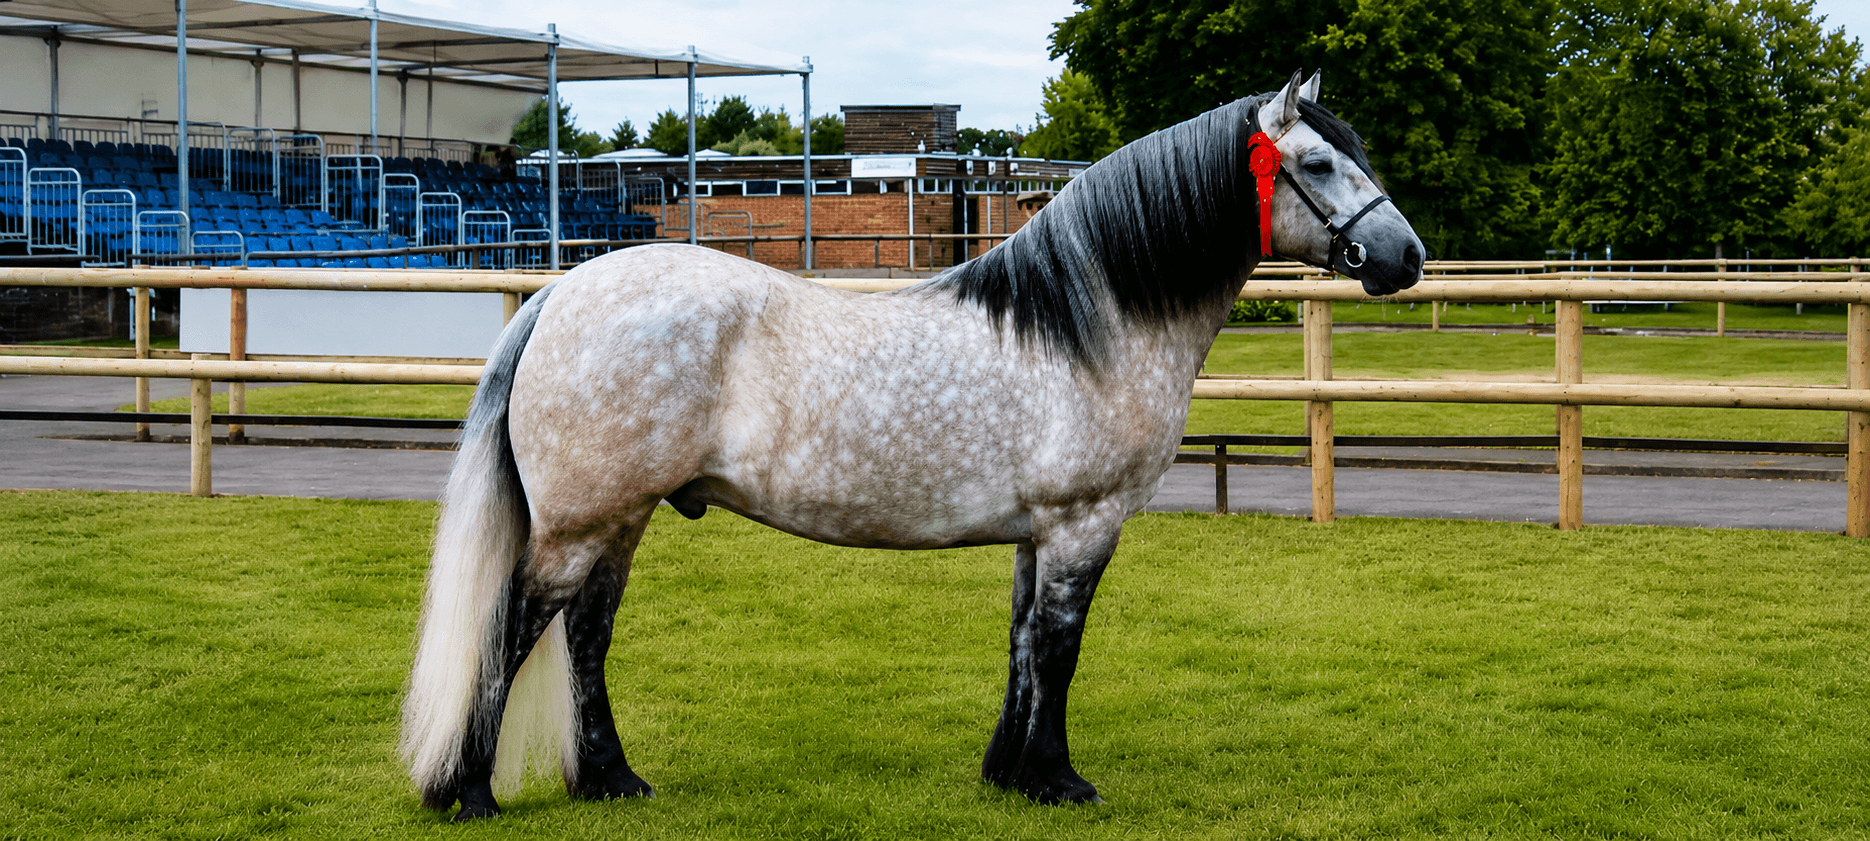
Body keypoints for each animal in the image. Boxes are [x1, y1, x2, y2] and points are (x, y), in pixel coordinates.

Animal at [400, 71, 1425, 820]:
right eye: (1319, 163)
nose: (1406, 258)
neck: (1085, 324)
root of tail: (560, 292)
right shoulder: (1082, 525)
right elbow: (1060, 648)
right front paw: (1061, 781)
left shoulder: (1037, 534)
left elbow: (1022, 644)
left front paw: (1010, 772)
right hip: (580, 522)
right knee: (512, 627)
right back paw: (469, 792)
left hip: (620, 517)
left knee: (586, 634)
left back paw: (613, 780)